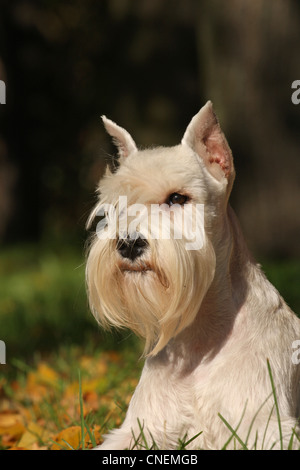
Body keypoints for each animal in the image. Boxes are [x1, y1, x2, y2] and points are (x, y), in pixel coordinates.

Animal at [85, 102, 298, 448]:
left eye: (177, 198)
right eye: (117, 205)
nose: (128, 243)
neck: (200, 338)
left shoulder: (265, 426)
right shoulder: (142, 426)